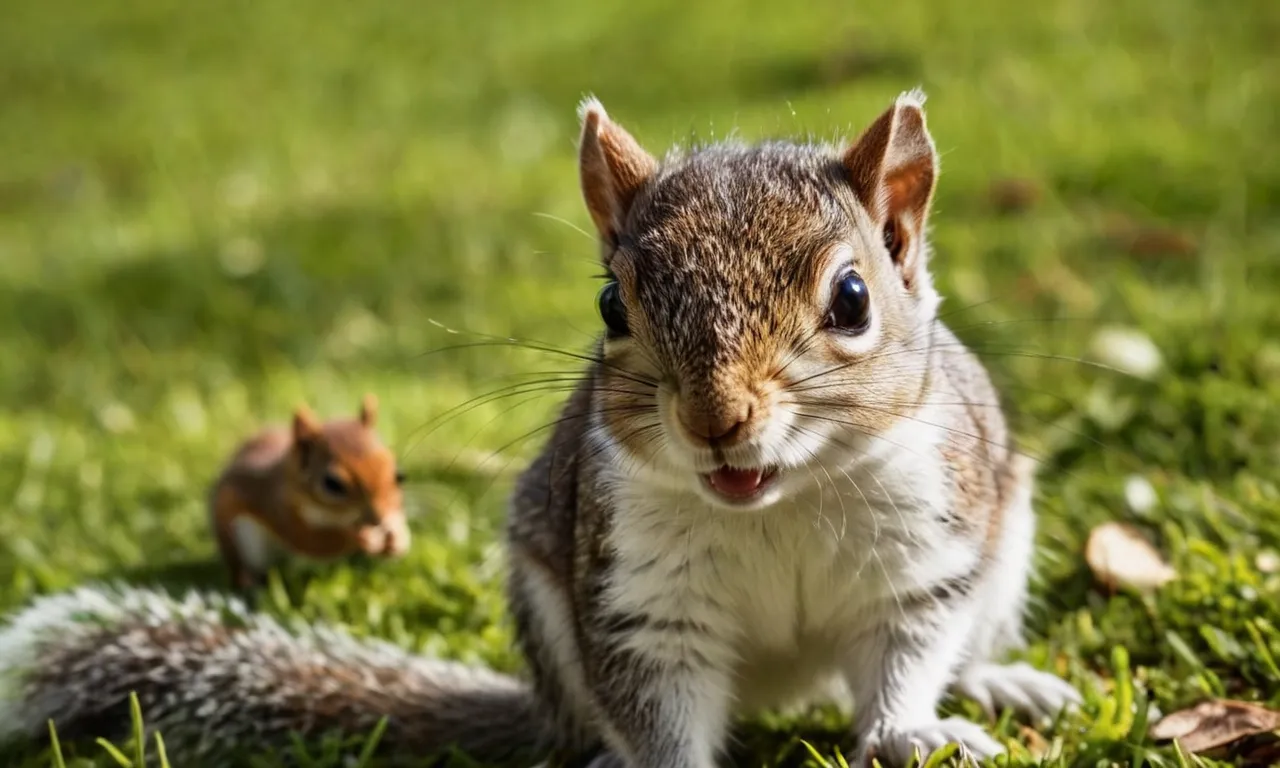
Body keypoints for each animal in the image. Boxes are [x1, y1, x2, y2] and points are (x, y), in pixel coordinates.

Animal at [209, 393, 411, 590]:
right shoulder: (281, 510)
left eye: (399, 476)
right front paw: (361, 537)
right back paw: (248, 584)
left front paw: (399, 536)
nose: (380, 519)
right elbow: (313, 541)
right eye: (332, 484)